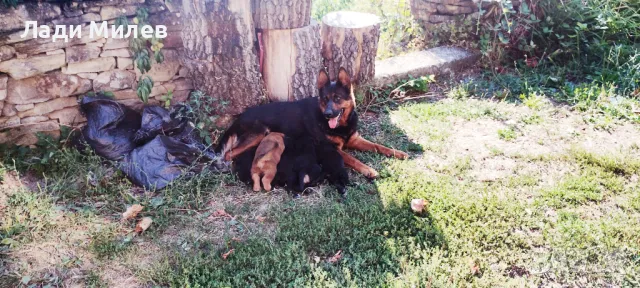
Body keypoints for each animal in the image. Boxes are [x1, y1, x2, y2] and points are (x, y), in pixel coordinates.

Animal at [216, 68, 410, 179]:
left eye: (337, 98)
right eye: (325, 99)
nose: (327, 114)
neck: (341, 126)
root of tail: (238, 117)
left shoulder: (355, 139)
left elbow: (378, 146)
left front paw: (398, 152)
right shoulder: (333, 148)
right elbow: (353, 159)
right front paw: (368, 169)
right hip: (259, 133)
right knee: (228, 154)